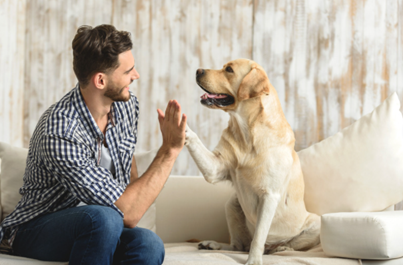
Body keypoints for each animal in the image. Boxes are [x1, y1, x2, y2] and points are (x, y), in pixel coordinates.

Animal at [185, 58, 320, 262]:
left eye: (229, 70)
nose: (198, 70)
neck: (247, 132)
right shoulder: (215, 168)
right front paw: (179, 124)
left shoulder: (270, 195)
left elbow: (258, 237)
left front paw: (254, 260)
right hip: (232, 204)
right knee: (238, 246)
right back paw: (213, 244)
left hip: (316, 224)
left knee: (282, 245)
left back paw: (279, 248)